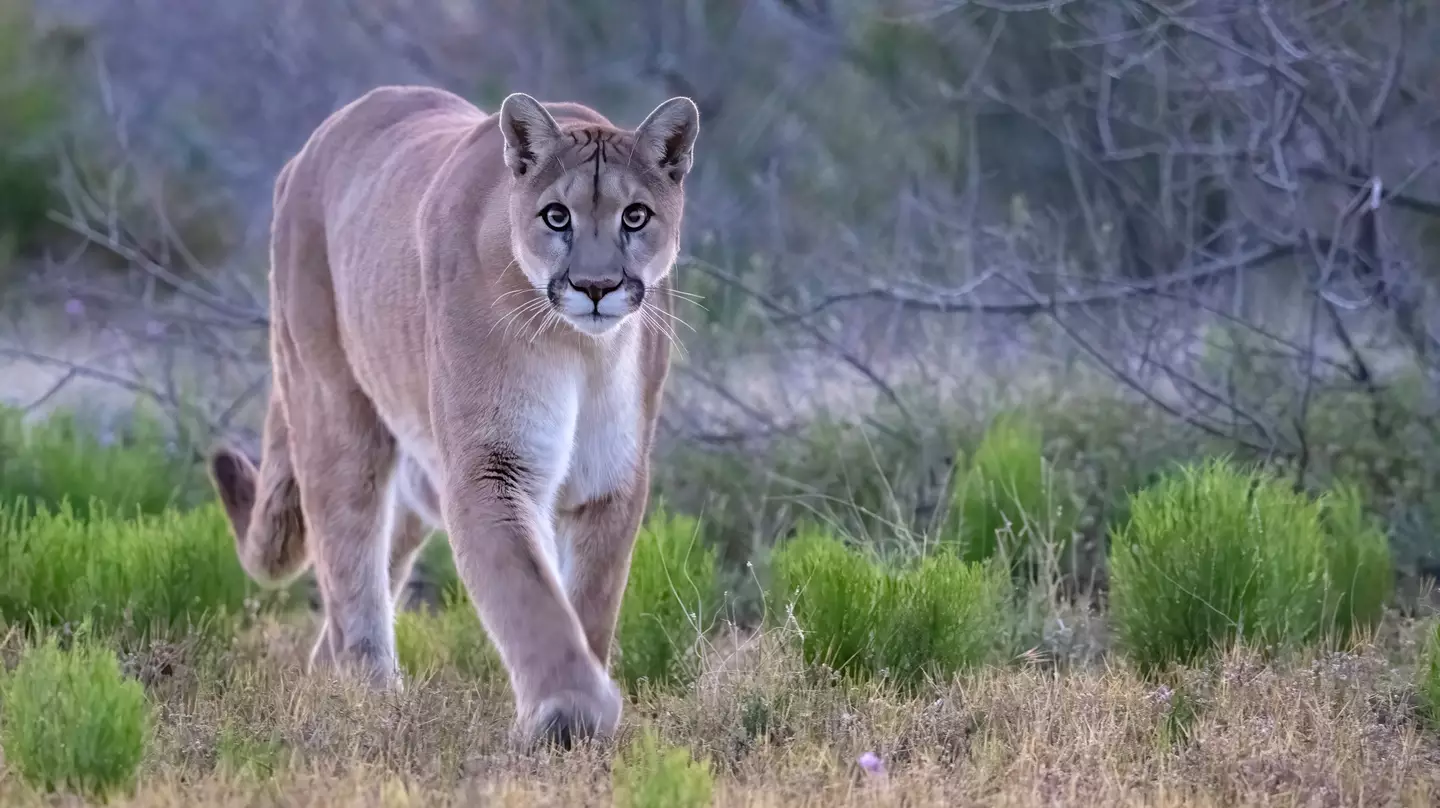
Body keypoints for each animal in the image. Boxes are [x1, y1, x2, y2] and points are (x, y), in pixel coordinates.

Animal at [206, 84, 699, 748]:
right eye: (557, 216)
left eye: (636, 216)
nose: (596, 287)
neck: (580, 348)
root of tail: (315, 143)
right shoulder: (491, 467)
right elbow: (531, 596)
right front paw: (571, 714)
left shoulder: (610, 479)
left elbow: (590, 599)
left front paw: (581, 720)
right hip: (334, 409)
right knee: (349, 558)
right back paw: (370, 694)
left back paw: (332, 675)